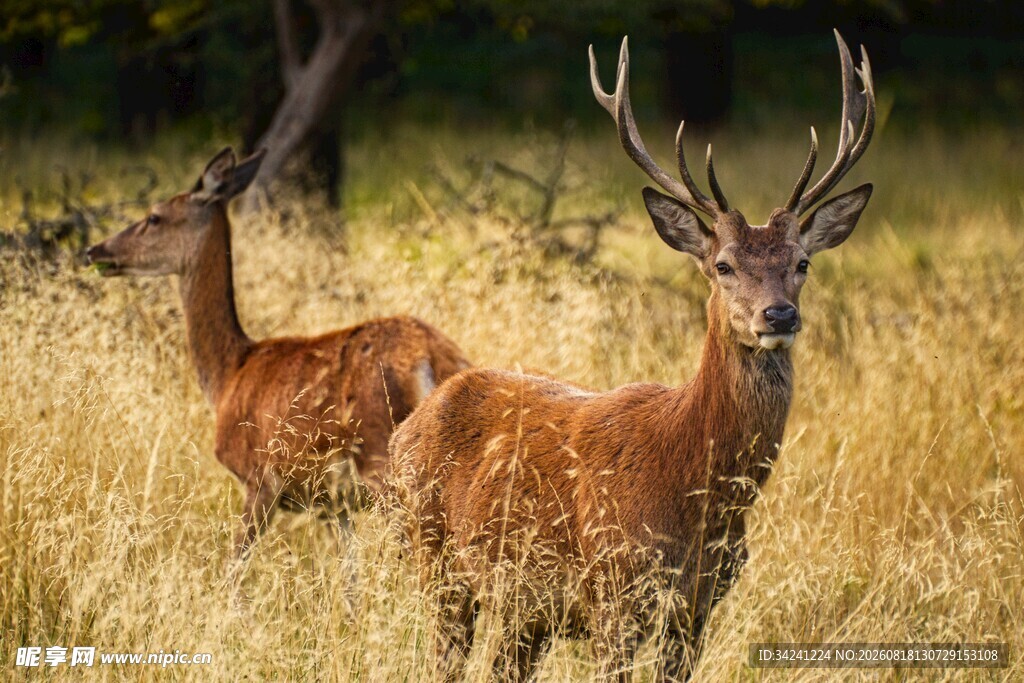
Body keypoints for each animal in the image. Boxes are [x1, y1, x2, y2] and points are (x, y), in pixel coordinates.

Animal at [86, 147, 470, 556]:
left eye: (154, 216)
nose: (94, 250)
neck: (228, 374)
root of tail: (431, 359)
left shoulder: (259, 479)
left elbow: (234, 563)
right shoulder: (333, 505)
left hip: (381, 456)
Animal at [390, 31, 875, 681]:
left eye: (802, 263)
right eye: (723, 265)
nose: (778, 316)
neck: (696, 494)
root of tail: (409, 426)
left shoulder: (699, 605)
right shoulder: (613, 591)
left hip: (522, 610)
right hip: (435, 559)